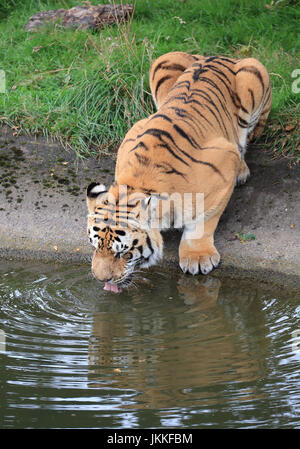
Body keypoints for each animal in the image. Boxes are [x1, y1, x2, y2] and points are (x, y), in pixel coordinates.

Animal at [86, 50, 272, 292]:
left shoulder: (224, 163)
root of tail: (214, 55)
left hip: (254, 73)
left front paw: (197, 257)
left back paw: (242, 170)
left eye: (123, 253)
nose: (101, 280)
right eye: (94, 247)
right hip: (162, 62)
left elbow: (204, 219)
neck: (138, 183)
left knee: (246, 136)